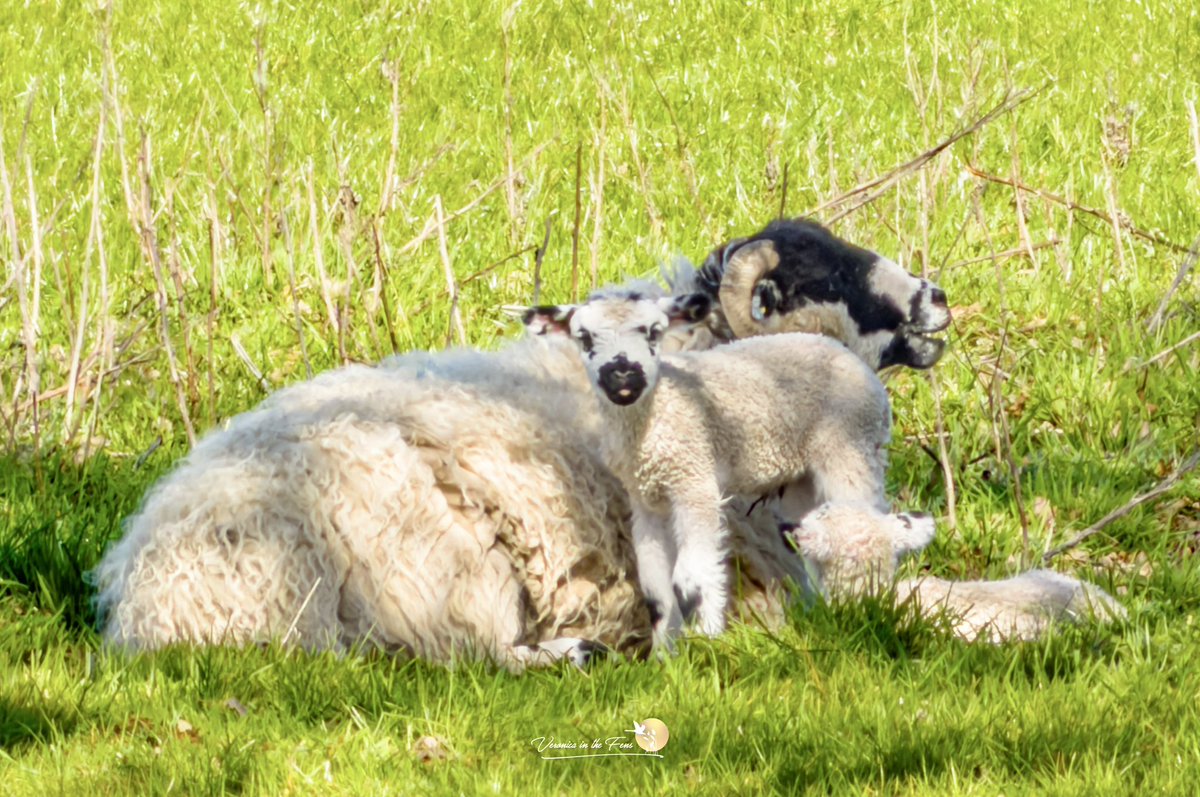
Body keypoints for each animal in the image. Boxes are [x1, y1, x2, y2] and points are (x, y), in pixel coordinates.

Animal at [524, 291, 894, 646]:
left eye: (654, 332)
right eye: (584, 337)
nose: (623, 374)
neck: (656, 416)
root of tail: (847, 355)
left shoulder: (694, 480)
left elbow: (692, 579)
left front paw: (708, 643)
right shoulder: (646, 500)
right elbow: (656, 592)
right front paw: (664, 656)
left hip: (852, 448)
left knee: (868, 527)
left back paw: (870, 606)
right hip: (802, 480)